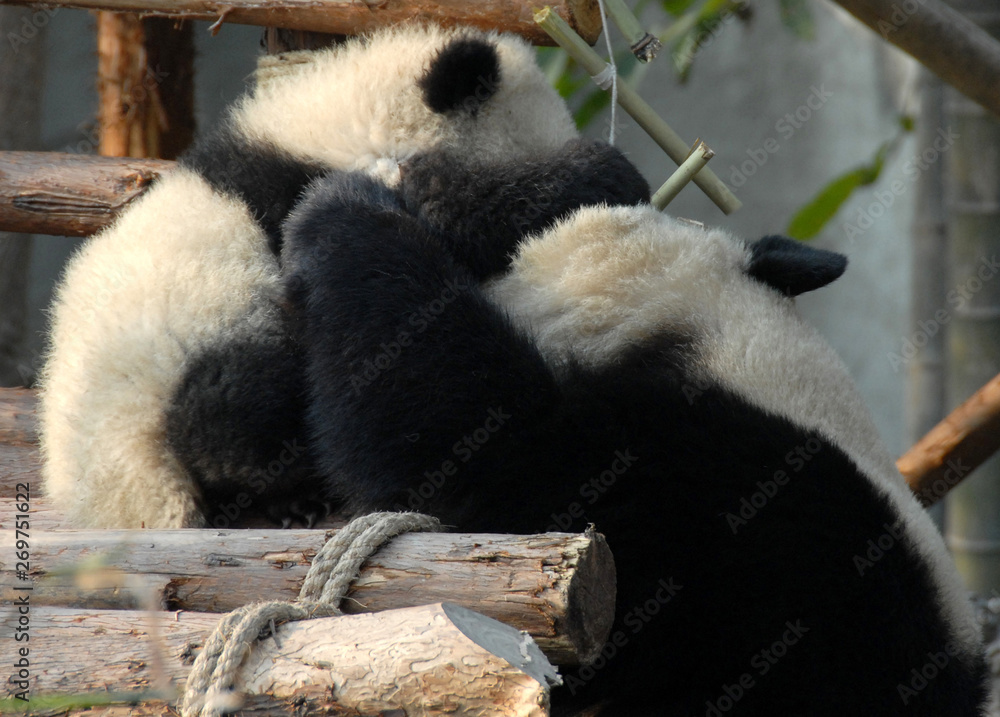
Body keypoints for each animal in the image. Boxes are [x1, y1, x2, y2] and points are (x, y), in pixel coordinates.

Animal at [39, 23, 649, 529]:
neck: (347, 112)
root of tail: (123, 498)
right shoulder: (315, 182)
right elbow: (456, 213)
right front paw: (603, 175)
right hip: (207, 337)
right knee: (229, 413)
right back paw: (292, 489)